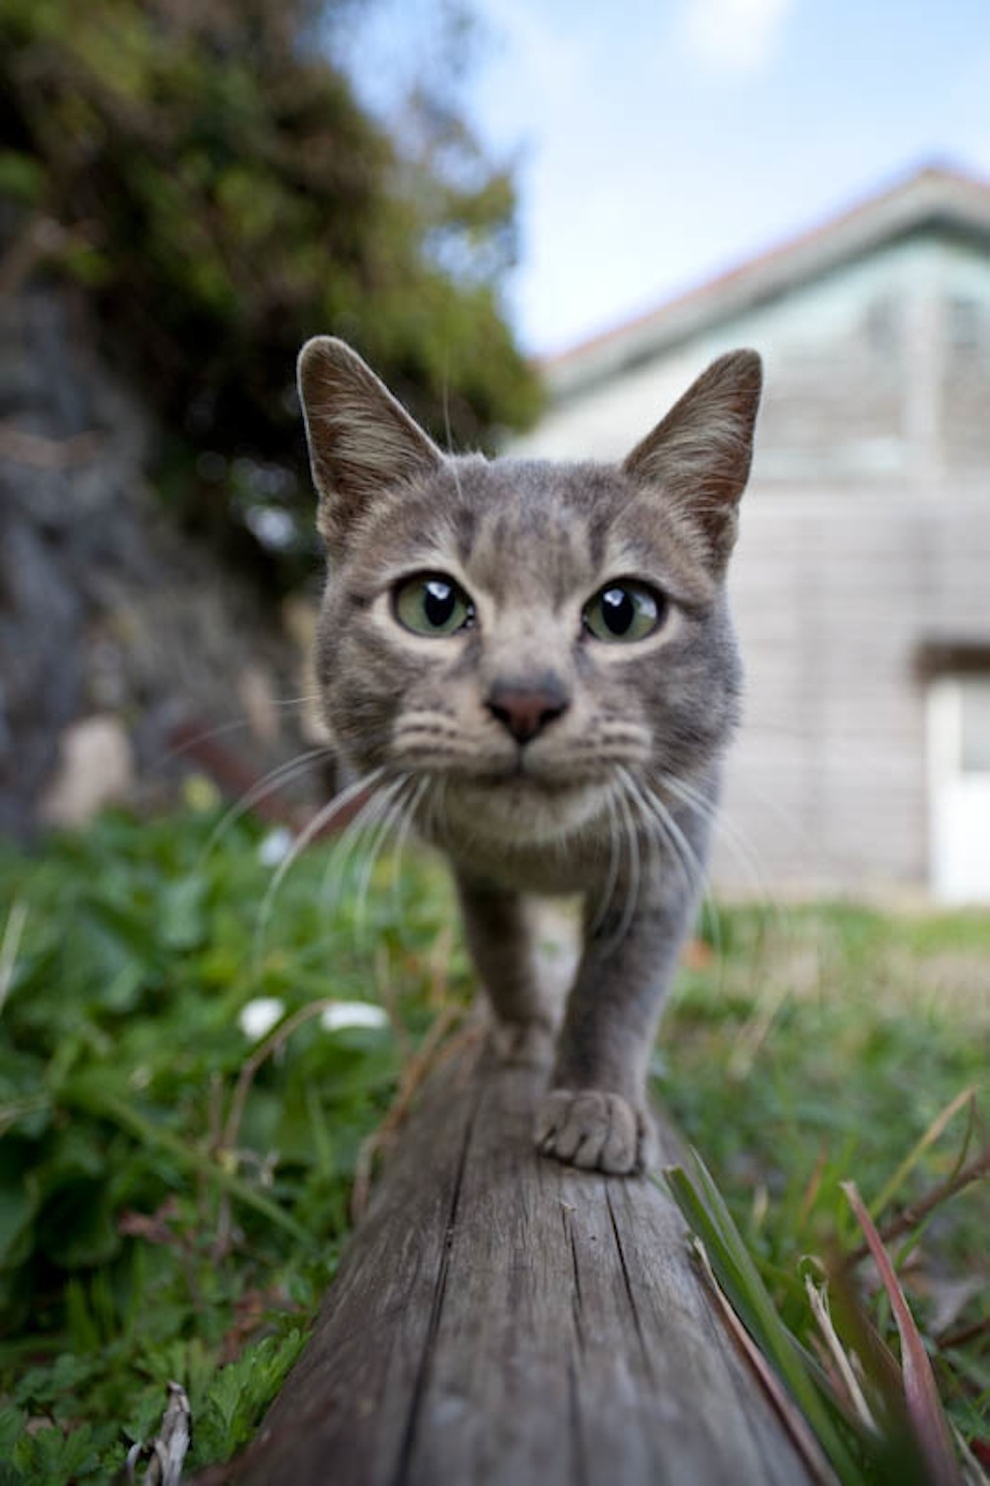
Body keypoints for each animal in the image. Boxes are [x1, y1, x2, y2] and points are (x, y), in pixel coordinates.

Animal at [297, 334, 758, 1170]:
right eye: (433, 605)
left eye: (622, 612)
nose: (525, 699)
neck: (545, 856)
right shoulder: (470, 865)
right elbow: (498, 942)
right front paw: (520, 1029)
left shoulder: (667, 852)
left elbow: (619, 986)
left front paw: (594, 1101)